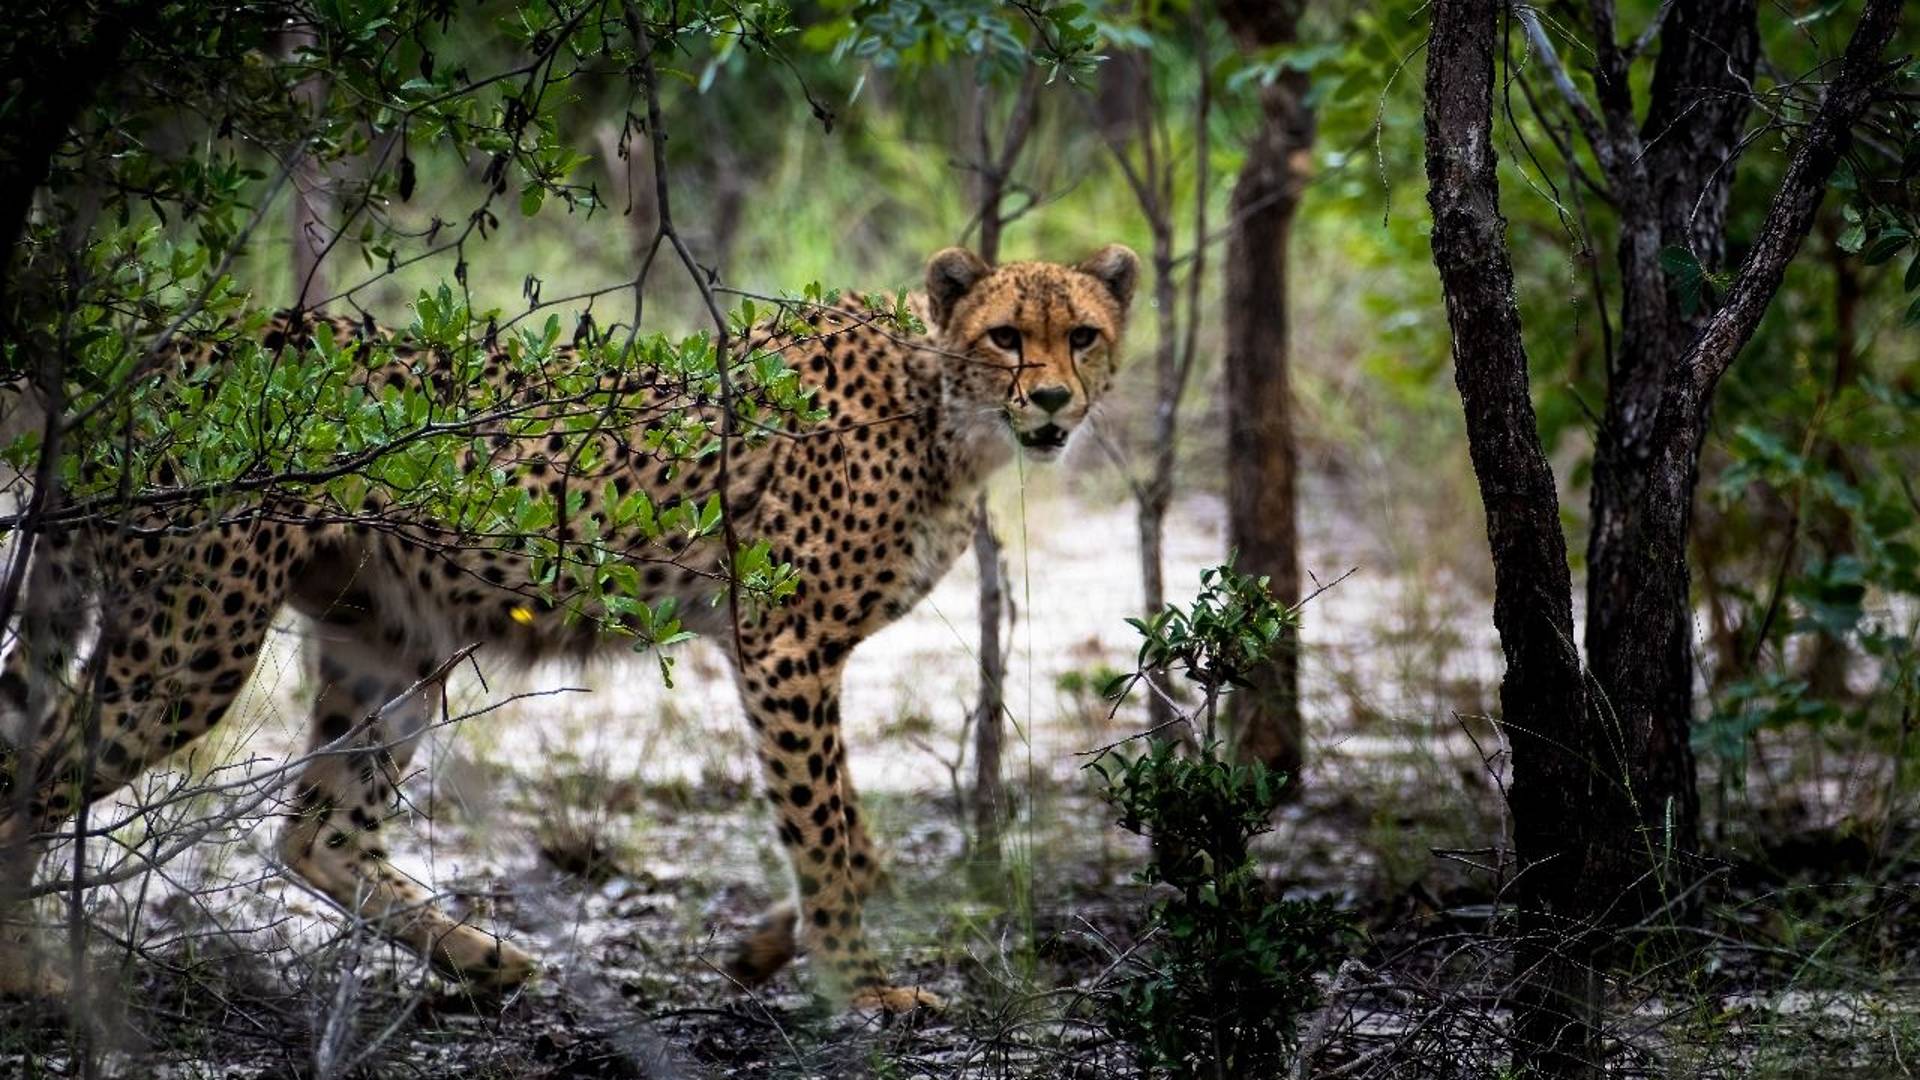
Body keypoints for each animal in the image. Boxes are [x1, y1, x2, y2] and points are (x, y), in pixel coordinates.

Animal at [0, 243, 1139, 1013]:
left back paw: (485, 958)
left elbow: (858, 839)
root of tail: (163, 351)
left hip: (389, 645)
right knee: (41, 769)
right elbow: (830, 829)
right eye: (1006, 335)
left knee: (316, 835)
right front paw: (860, 985)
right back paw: (25, 971)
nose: (1052, 400)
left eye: (1083, 335)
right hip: (192, 643)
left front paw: (771, 949)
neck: (943, 406)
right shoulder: (783, 643)